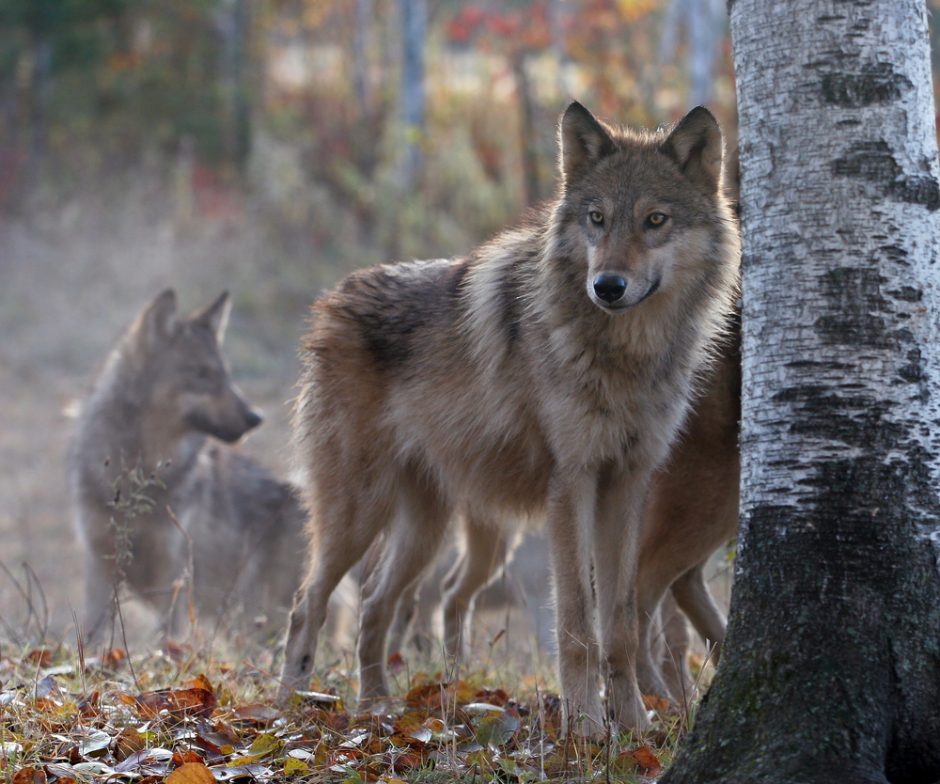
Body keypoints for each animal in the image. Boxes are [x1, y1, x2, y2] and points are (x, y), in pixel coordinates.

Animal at [74, 288, 308, 644]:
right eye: (202, 374)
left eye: (226, 374)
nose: (256, 418)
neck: (140, 470)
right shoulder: (99, 564)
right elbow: (94, 636)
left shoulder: (174, 578)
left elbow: (168, 640)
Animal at [280, 99, 740, 736]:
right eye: (597, 218)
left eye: (655, 220)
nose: (608, 286)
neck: (625, 356)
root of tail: (333, 297)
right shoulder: (572, 484)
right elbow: (578, 625)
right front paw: (587, 731)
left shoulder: (627, 483)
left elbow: (621, 625)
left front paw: (635, 731)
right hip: (359, 514)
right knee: (307, 605)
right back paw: (285, 713)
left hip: (424, 530)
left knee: (374, 606)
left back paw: (378, 709)